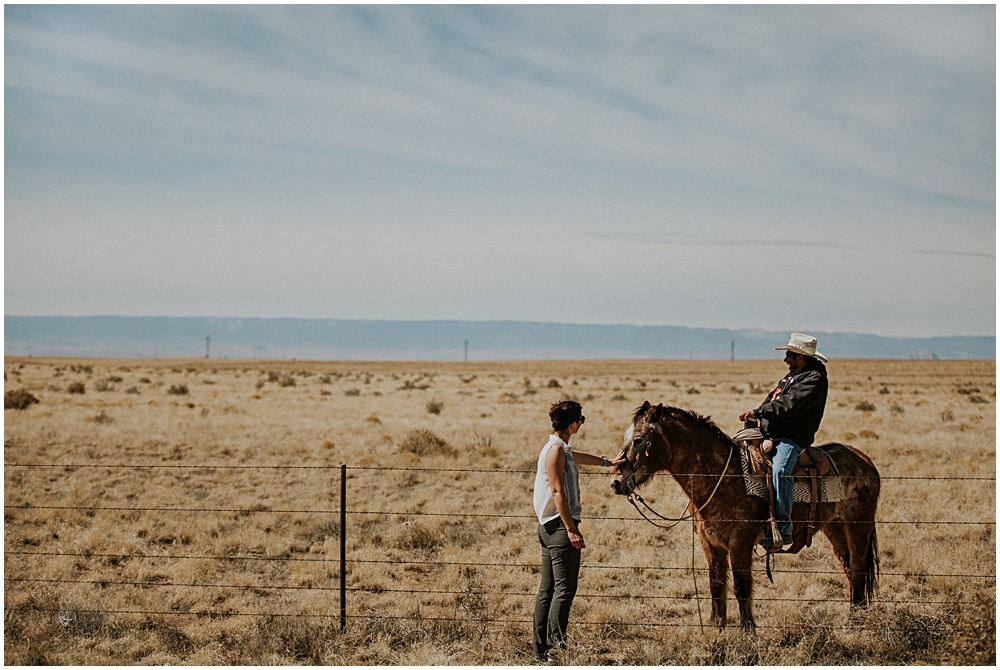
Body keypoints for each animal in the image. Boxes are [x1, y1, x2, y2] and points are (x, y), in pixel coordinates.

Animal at [608, 404, 884, 632]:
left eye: (639, 439)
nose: (616, 482)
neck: (721, 478)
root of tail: (866, 461)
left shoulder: (739, 542)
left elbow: (741, 586)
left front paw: (747, 630)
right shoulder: (711, 543)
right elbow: (716, 583)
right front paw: (717, 626)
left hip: (858, 527)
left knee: (858, 568)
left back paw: (858, 620)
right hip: (834, 528)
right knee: (849, 568)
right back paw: (854, 615)